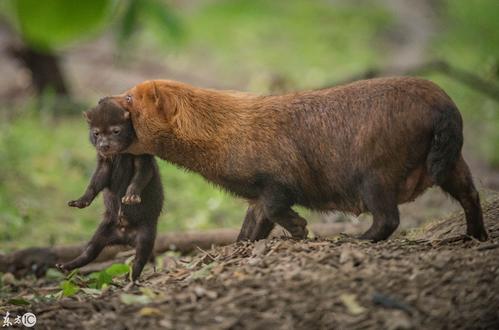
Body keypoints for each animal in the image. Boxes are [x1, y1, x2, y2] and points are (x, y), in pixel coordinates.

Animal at [58, 99, 164, 280]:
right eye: (96, 133)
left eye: (116, 130)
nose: (103, 145)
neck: (120, 154)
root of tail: (125, 235)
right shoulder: (104, 163)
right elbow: (95, 182)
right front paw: (79, 202)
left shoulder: (143, 159)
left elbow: (140, 177)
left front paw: (130, 197)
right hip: (102, 231)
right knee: (89, 251)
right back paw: (64, 266)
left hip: (146, 233)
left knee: (140, 257)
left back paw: (131, 278)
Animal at [99, 76, 490, 242]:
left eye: (130, 98)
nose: (102, 98)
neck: (230, 132)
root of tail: (442, 102)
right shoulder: (255, 194)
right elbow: (251, 226)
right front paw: (243, 245)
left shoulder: (276, 178)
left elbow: (276, 209)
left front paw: (301, 229)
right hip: (451, 164)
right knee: (471, 194)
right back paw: (474, 235)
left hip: (374, 174)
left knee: (388, 218)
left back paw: (357, 239)